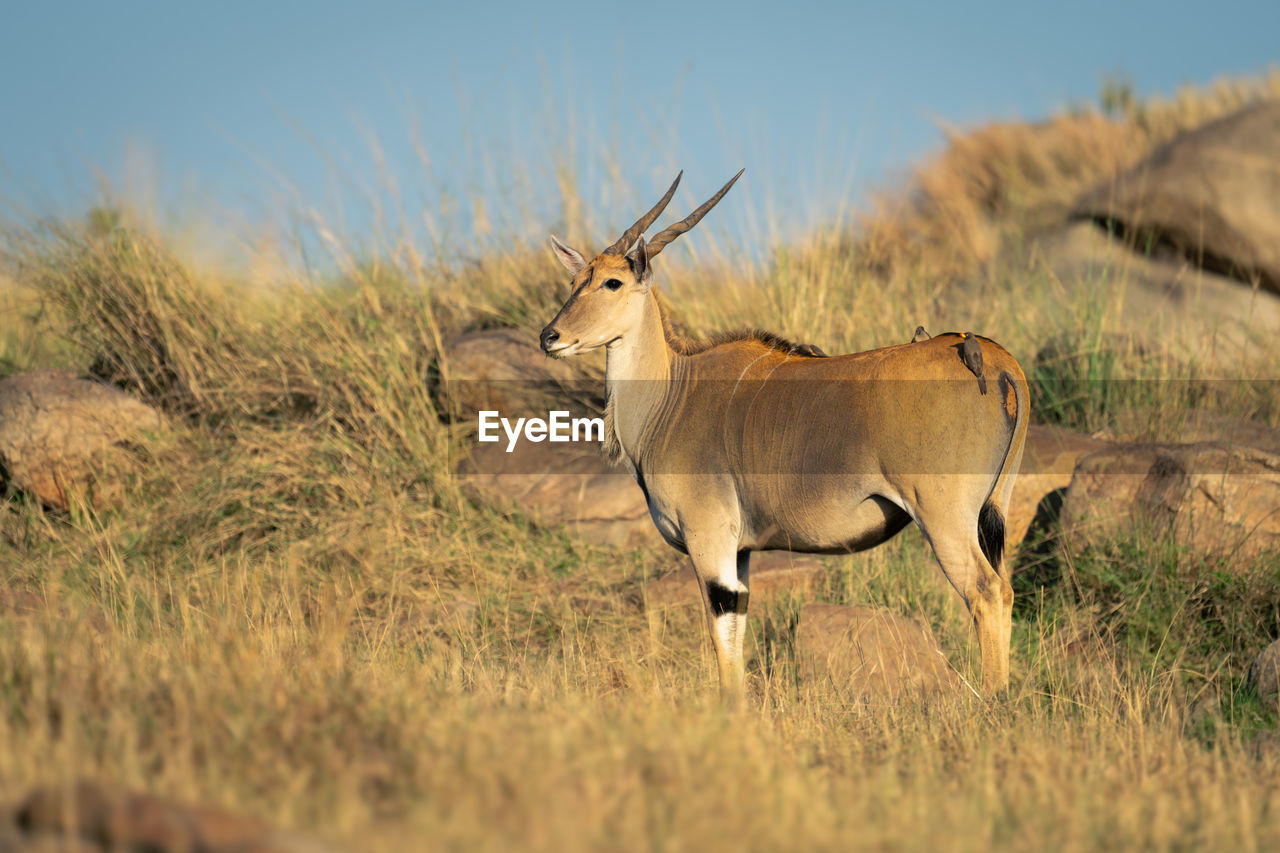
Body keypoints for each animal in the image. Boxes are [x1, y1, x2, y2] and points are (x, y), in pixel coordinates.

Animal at [540, 171, 1029, 696]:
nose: (550, 336)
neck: (673, 393)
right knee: (1004, 590)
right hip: (990, 511)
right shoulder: (740, 552)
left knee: (987, 592)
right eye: (574, 282)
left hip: (944, 520)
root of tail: (989, 358)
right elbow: (736, 631)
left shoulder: (709, 541)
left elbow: (722, 637)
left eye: (612, 282)